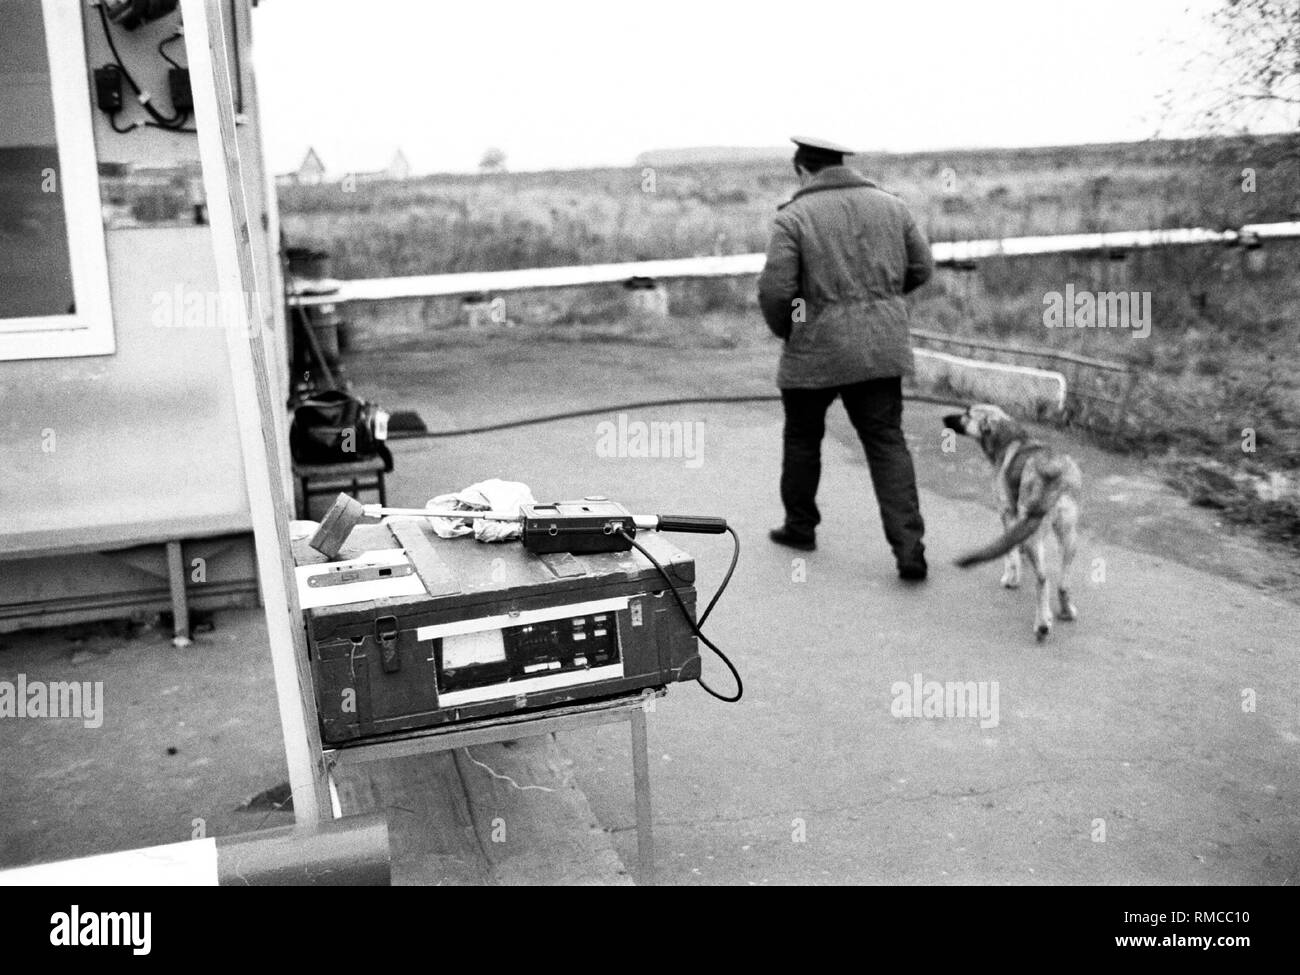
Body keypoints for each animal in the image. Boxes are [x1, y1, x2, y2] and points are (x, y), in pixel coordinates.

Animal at [941, 405, 1081, 642]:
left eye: (967, 414)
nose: (944, 418)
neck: (1008, 438)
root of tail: (1053, 470)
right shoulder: (1019, 523)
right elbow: (1015, 547)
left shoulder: (1007, 513)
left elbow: (1010, 554)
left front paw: (1011, 578)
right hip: (1069, 535)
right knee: (1063, 583)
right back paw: (1065, 611)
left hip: (1037, 532)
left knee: (1042, 579)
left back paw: (1042, 624)